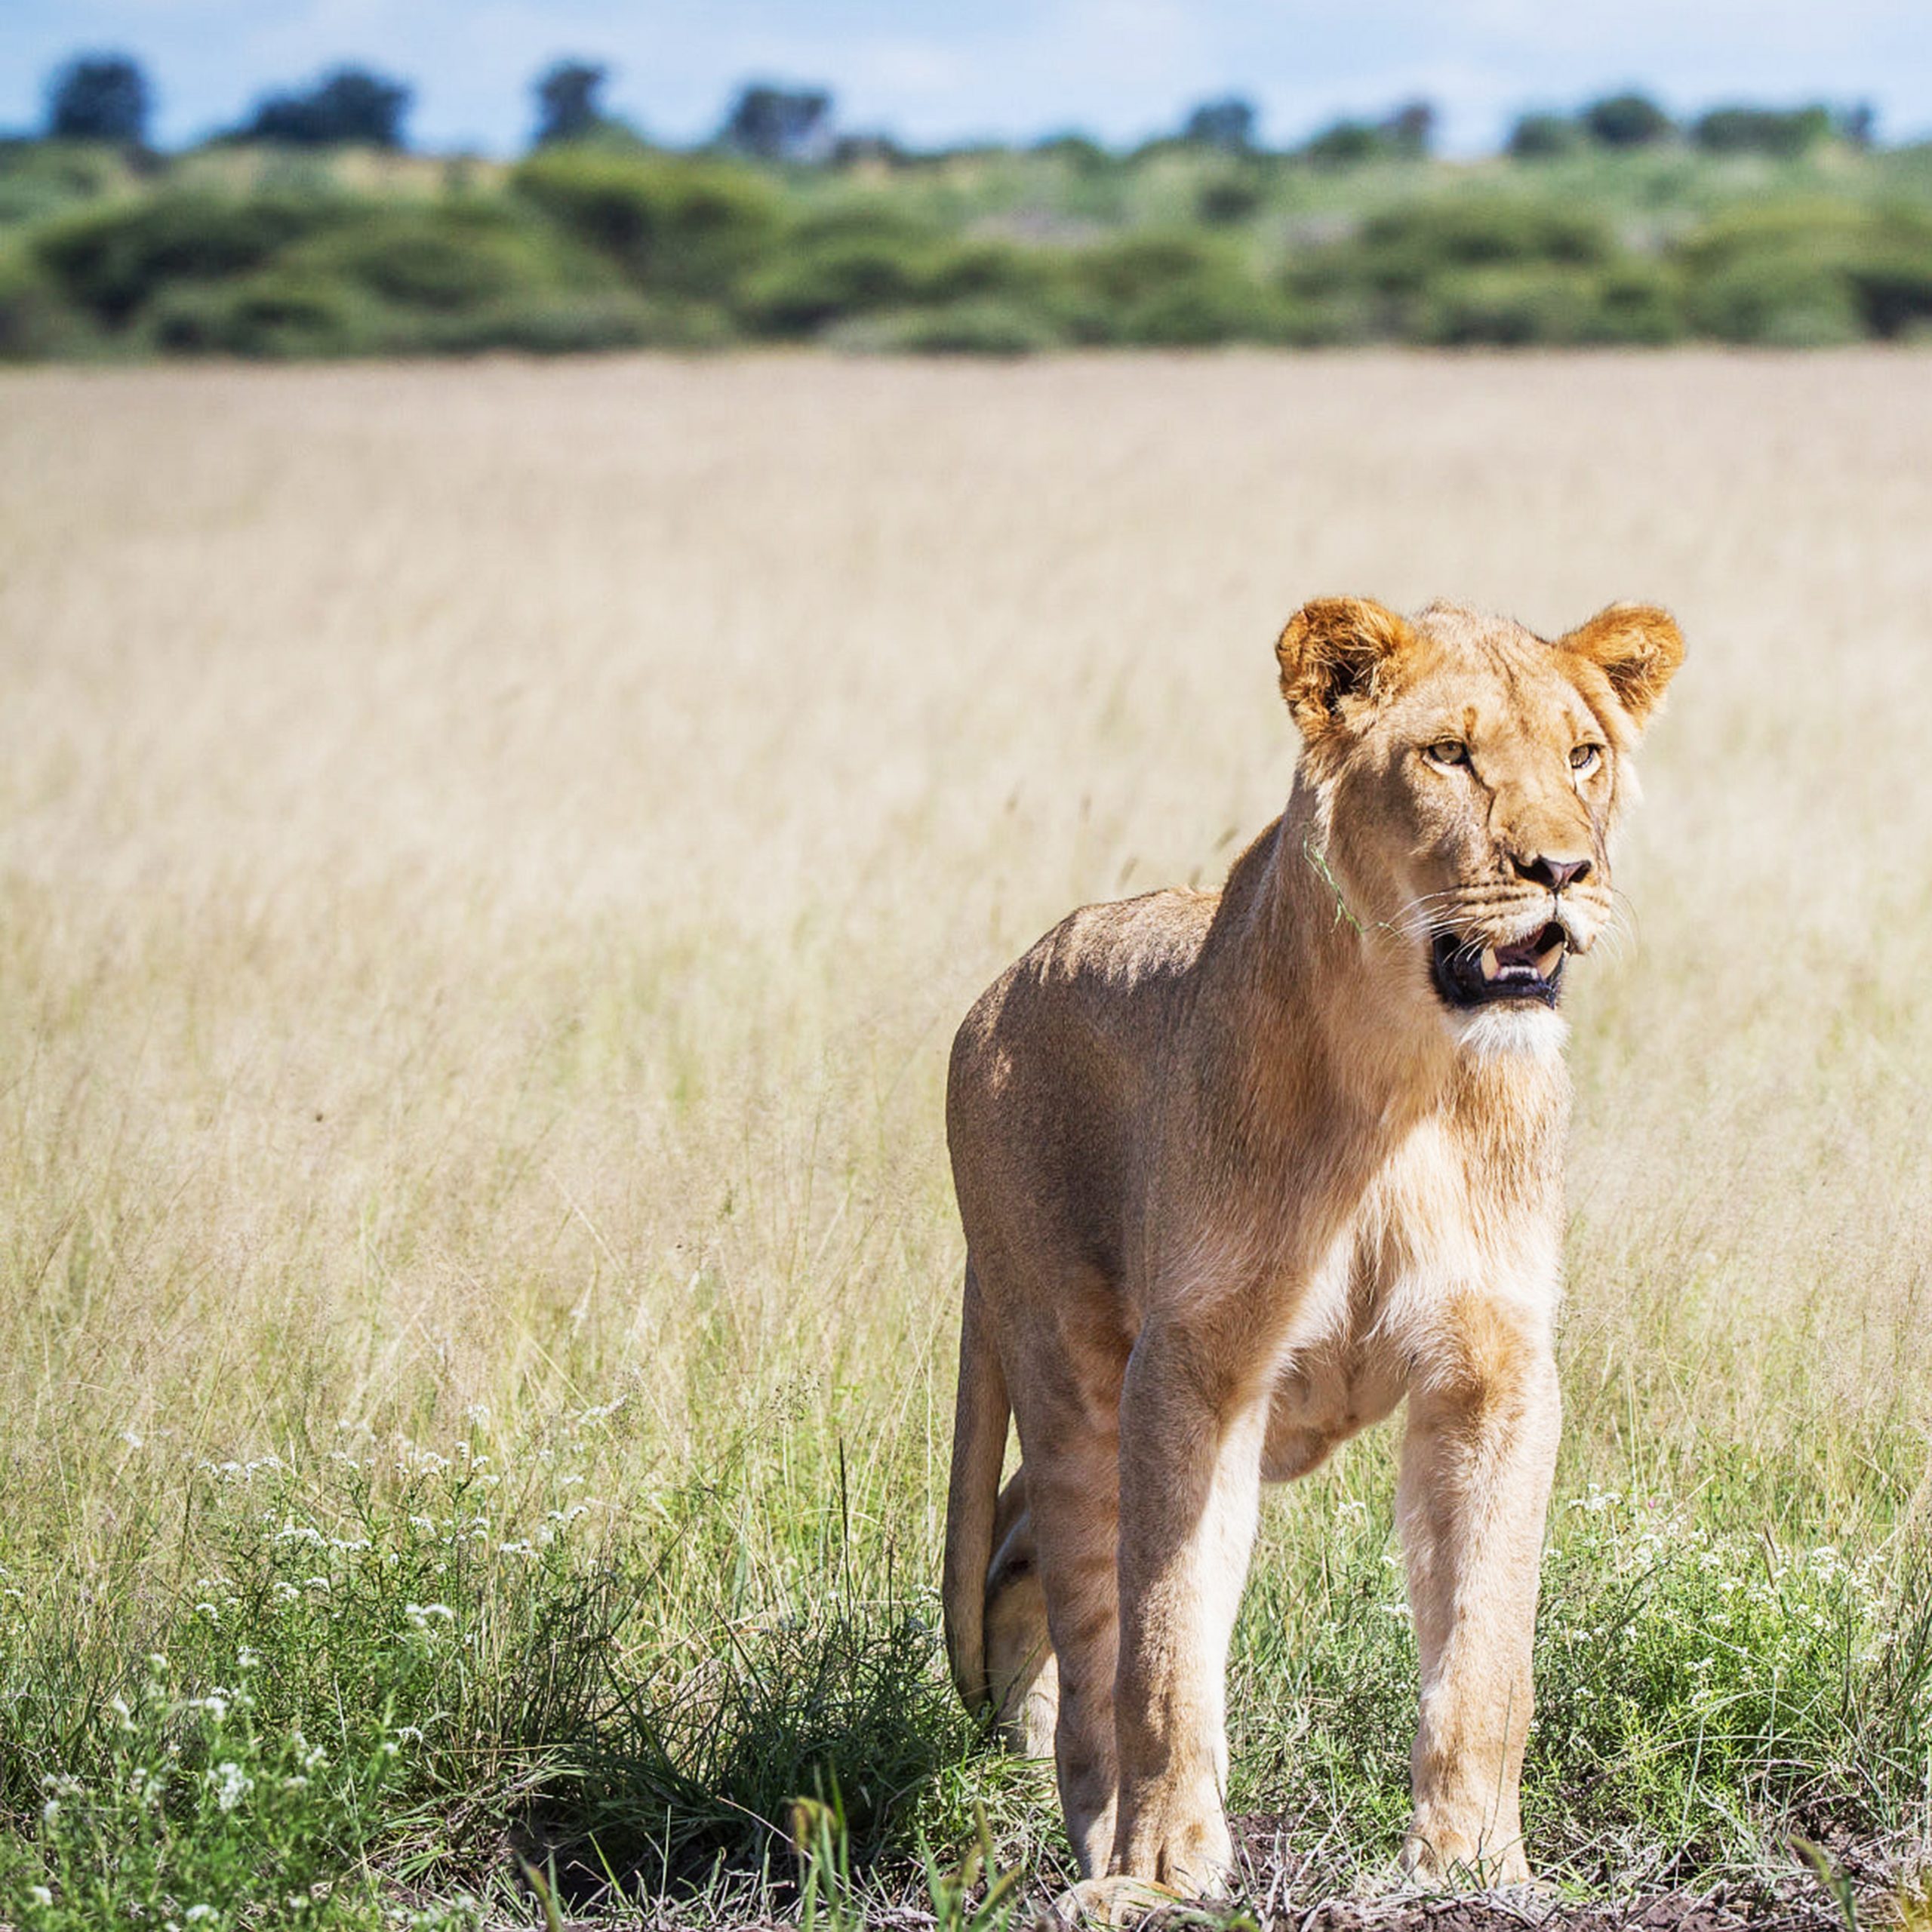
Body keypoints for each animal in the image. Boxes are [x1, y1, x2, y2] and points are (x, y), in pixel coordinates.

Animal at [941, 596, 1683, 1905]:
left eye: (1583, 754)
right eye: (1450, 755)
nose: (1562, 871)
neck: (1409, 1071)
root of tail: (995, 994)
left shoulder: (1495, 1369)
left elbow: (1488, 1652)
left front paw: (1474, 1865)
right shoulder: (1195, 1366)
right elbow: (1165, 1643)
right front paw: (1166, 1871)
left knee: (1020, 1538)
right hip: (1073, 1370)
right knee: (1082, 1606)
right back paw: (1095, 1838)